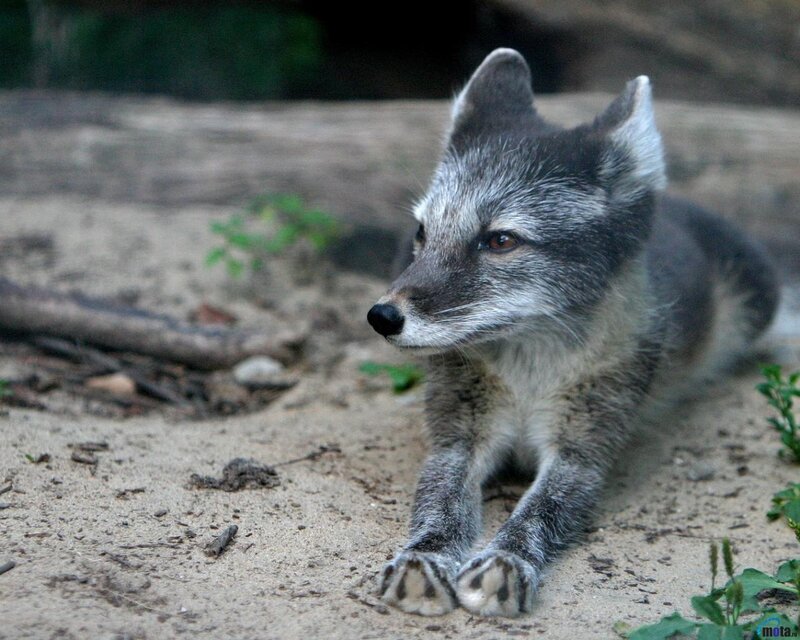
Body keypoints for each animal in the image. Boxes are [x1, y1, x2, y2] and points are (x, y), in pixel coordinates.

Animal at [366, 48, 780, 617]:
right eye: (422, 233)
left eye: (500, 240)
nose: (382, 316)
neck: (529, 375)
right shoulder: (456, 439)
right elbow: (439, 502)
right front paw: (424, 557)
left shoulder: (584, 454)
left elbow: (541, 509)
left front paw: (507, 560)